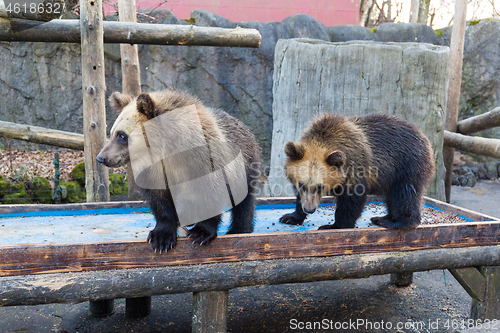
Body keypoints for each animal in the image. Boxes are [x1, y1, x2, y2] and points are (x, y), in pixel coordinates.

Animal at [96, 89, 264, 252]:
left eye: (121, 135)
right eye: (112, 132)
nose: (101, 158)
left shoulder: (205, 161)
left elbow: (210, 193)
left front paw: (200, 233)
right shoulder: (154, 172)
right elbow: (160, 202)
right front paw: (161, 238)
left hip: (245, 165)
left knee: (244, 200)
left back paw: (239, 229)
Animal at [280, 113, 436, 230]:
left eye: (321, 186)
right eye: (301, 184)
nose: (309, 209)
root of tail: (426, 139)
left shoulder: (356, 166)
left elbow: (352, 200)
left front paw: (334, 225)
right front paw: (290, 216)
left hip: (407, 166)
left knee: (405, 195)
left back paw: (394, 221)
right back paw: (382, 217)